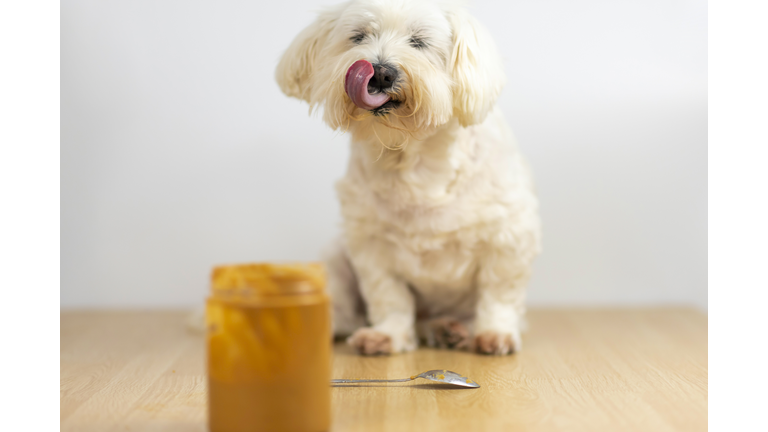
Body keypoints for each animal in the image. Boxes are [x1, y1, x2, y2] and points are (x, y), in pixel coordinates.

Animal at [276, 0, 540, 356]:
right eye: (358, 36)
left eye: (419, 41)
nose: (380, 72)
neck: (413, 157)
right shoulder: (371, 244)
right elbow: (389, 296)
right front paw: (387, 335)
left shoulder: (509, 236)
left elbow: (499, 293)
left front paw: (495, 333)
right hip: (336, 258)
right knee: (345, 310)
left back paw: (450, 329)